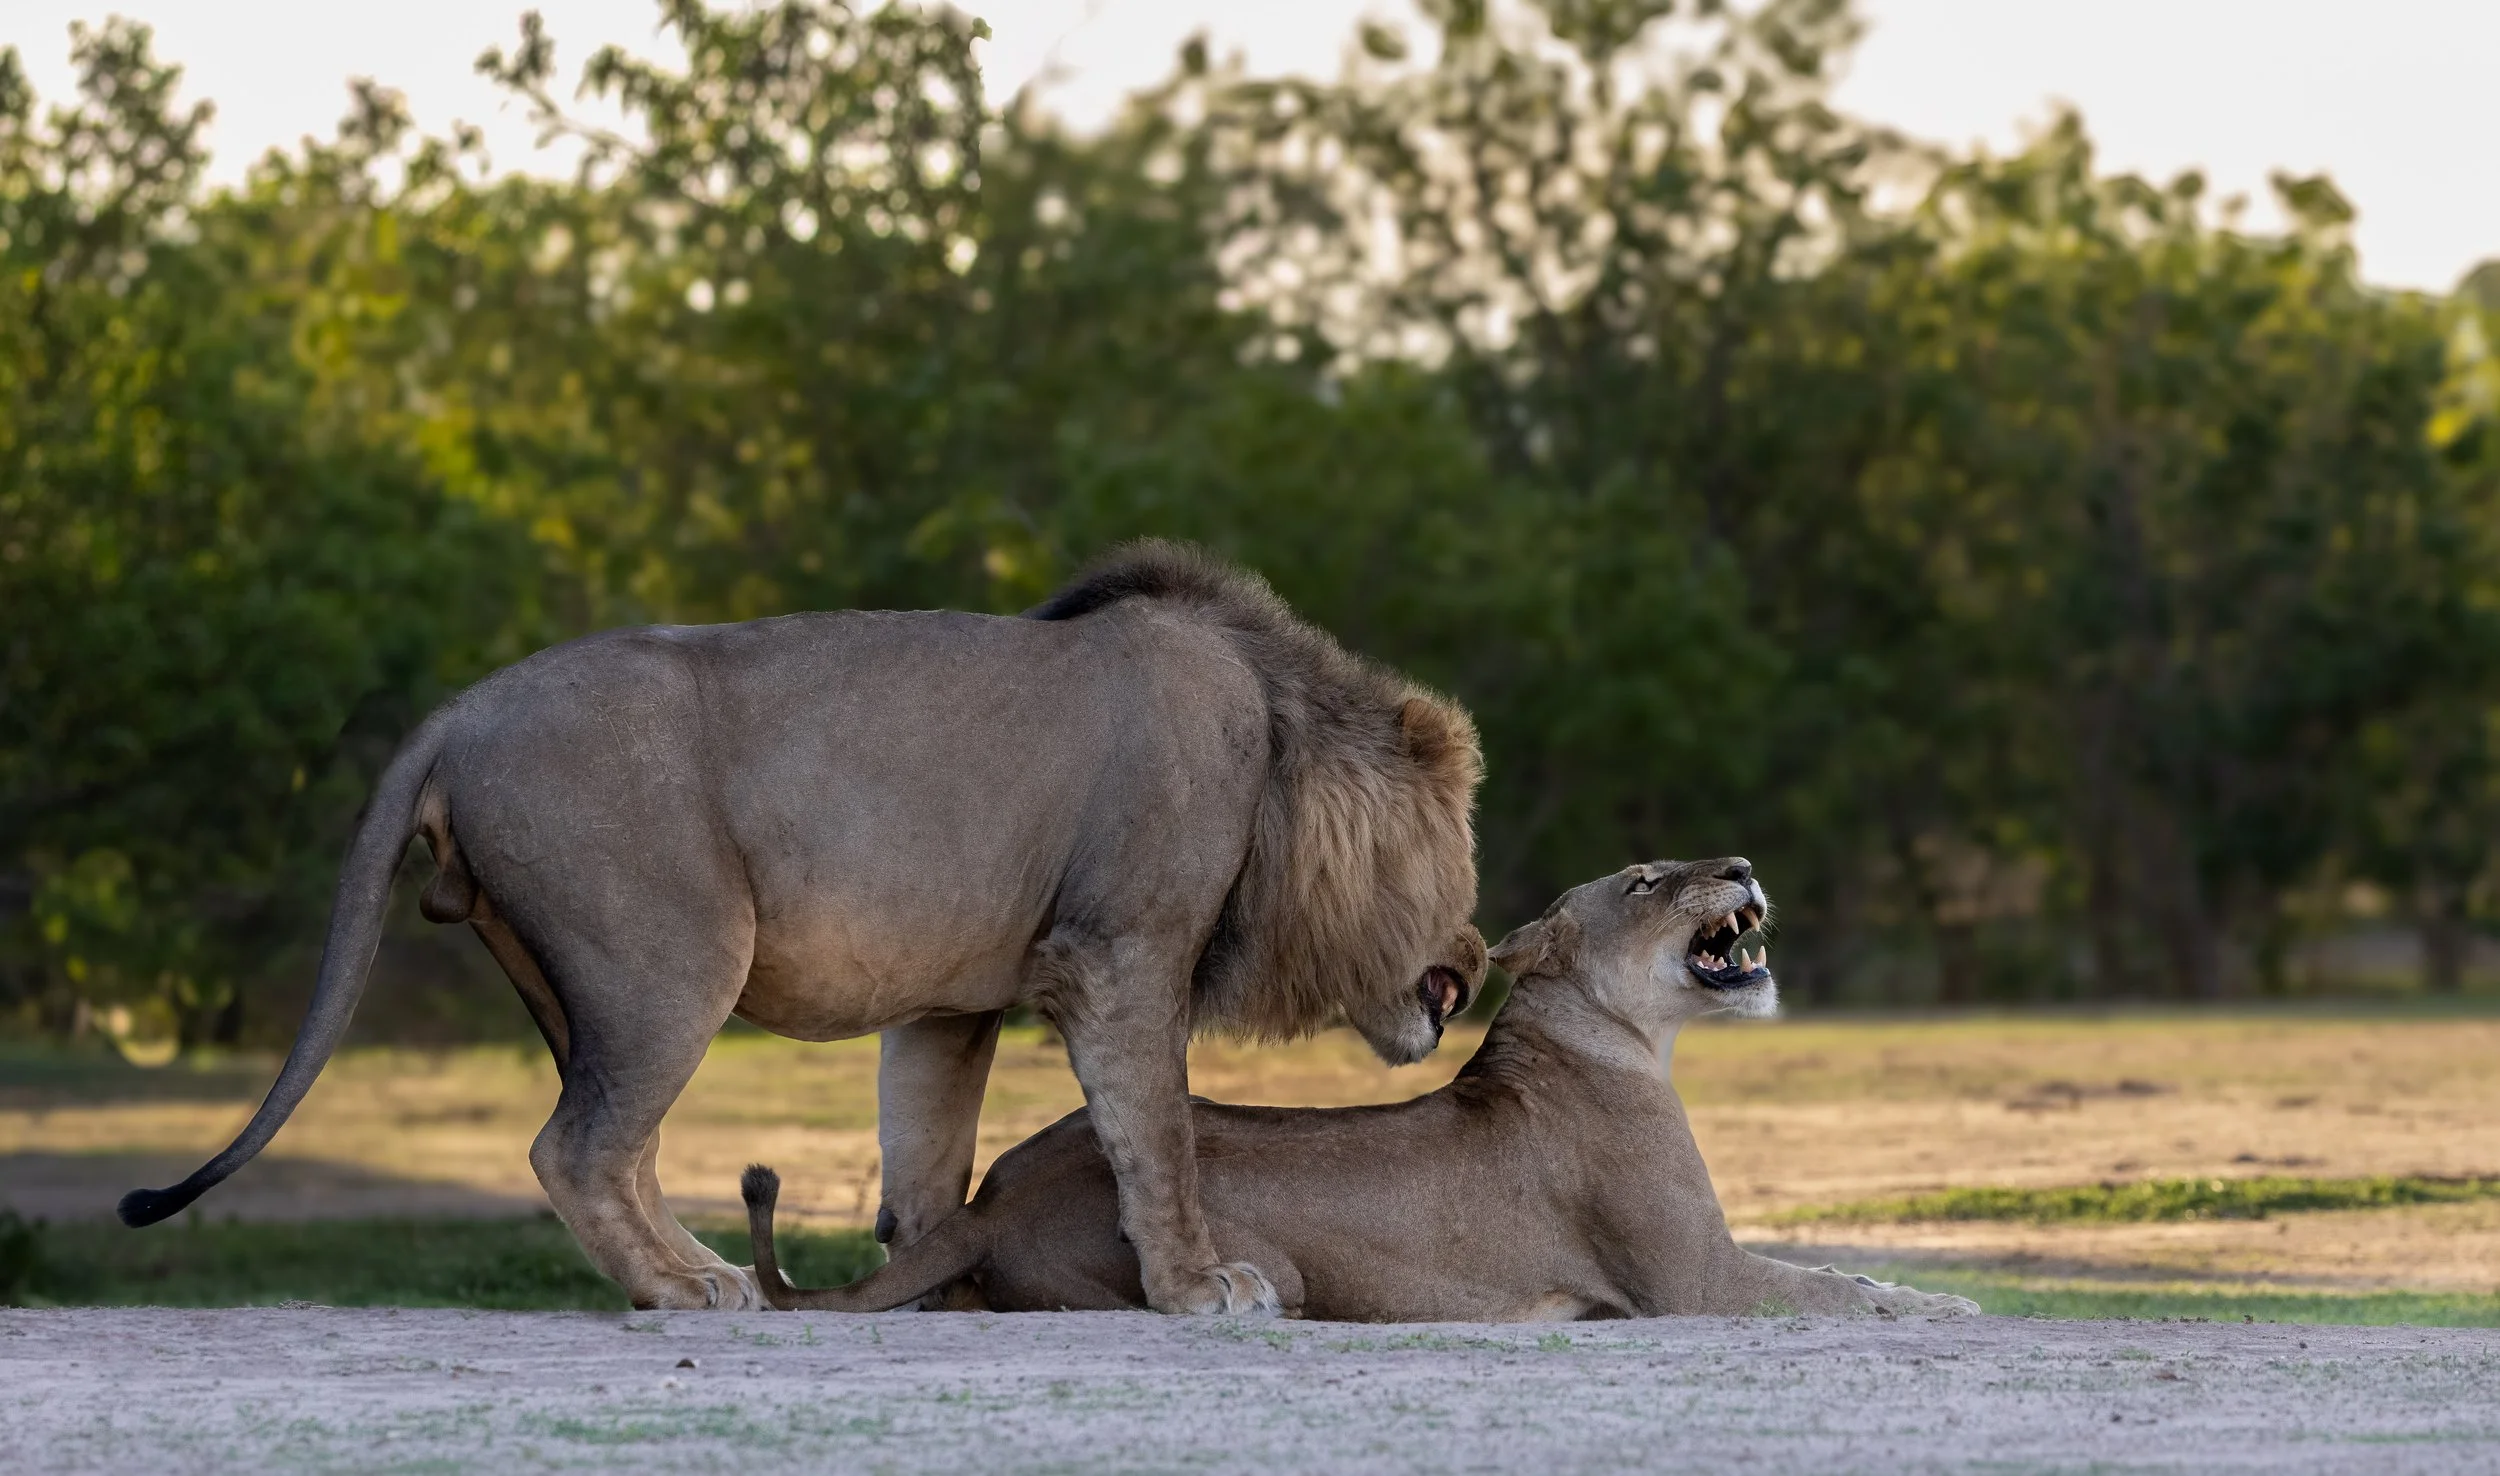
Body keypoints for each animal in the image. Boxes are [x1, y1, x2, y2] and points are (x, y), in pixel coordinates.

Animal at [116, 543, 1487, 1314]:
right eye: (1458, 850)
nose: (1474, 966)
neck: (1276, 736)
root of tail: (459, 709)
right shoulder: (1122, 952)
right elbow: (1159, 1140)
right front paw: (1200, 1288)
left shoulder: (953, 1001)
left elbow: (928, 1166)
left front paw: (939, 1290)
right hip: (673, 958)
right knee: (577, 1148)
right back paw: (685, 1289)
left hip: (580, 983)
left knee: (617, 1147)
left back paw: (703, 1272)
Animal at [742, 858, 1979, 1321]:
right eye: (1644, 880)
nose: (1741, 866)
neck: (1627, 1040)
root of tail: (995, 1198)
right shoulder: (1691, 1281)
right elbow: (1831, 1292)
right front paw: (1945, 1307)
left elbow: (1836, 1269)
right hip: (1267, 1266)